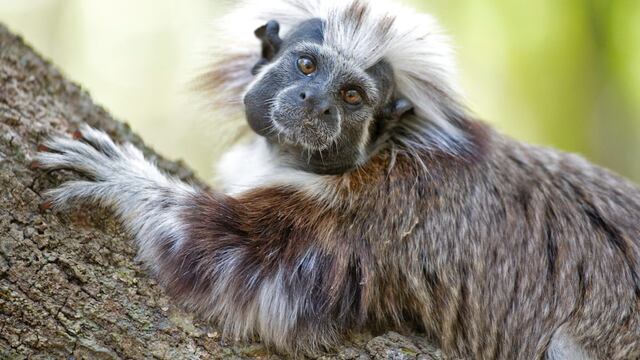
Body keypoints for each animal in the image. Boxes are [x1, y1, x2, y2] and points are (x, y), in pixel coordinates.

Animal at [33, 0, 640, 358]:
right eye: (307, 66)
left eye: (351, 96)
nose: (317, 102)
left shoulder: (385, 210)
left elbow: (240, 268)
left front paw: (125, 179)